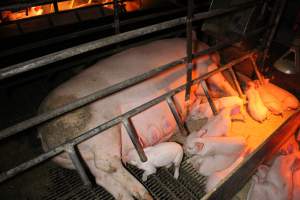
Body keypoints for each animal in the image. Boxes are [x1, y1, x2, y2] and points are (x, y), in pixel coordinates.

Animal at [37, 38, 237, 200]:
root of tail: (45, 136)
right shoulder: (206, 67)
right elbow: (223, 82)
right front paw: (238, 97)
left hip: (83, 156)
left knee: (102, 176)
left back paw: (131, 195)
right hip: (99, 128)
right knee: (107, 163)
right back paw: (145, 194)